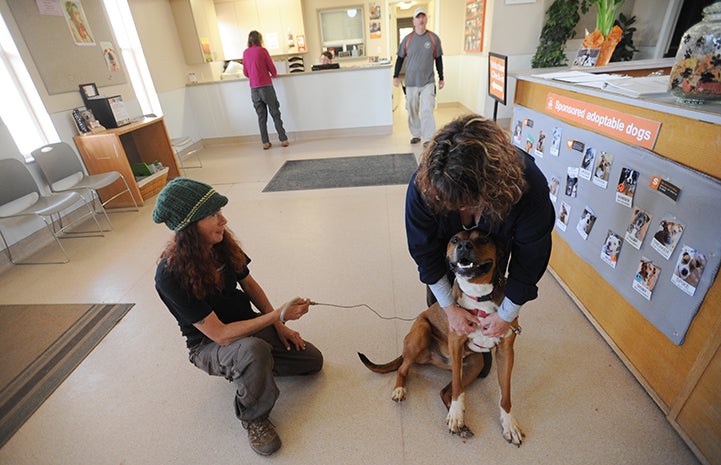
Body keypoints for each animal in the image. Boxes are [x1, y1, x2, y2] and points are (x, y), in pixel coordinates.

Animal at [358, 230, 520, 444]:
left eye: (484, 239)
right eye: (455, 240)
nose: (464, 246)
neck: (478, 295)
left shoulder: (505, 351)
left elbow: (506, 394)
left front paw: (509, 424)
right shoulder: (456, 342)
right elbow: (458, 389)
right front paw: (456, 415)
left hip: (475, 364)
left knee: (444, 392)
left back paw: (461, 425)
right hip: (421, 333)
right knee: (403, 369)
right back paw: (401, 390)